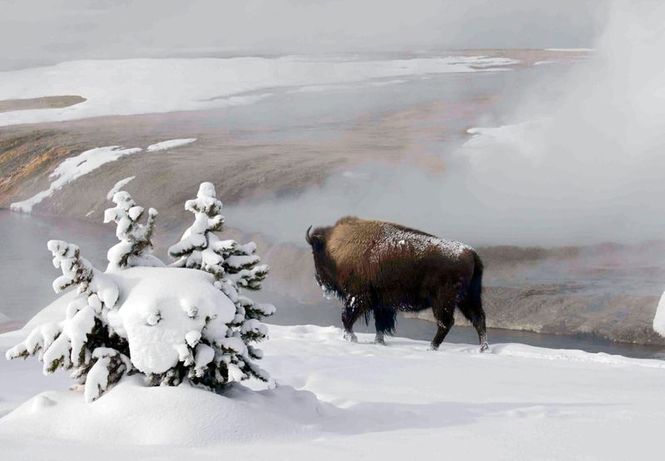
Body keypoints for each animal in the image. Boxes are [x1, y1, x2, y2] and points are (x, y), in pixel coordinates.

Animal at [306, 217, 488, 350]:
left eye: (315, 253)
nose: (319, 280)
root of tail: (471, 253)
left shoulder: (358, 297)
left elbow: (346, 318)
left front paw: (352, 338)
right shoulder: (380, 304)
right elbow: (380, 325)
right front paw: (378, 342)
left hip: (443, 301)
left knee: (446, 323)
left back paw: (431, 347)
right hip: (468, 298)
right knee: (478, 319)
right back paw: (482, 349)